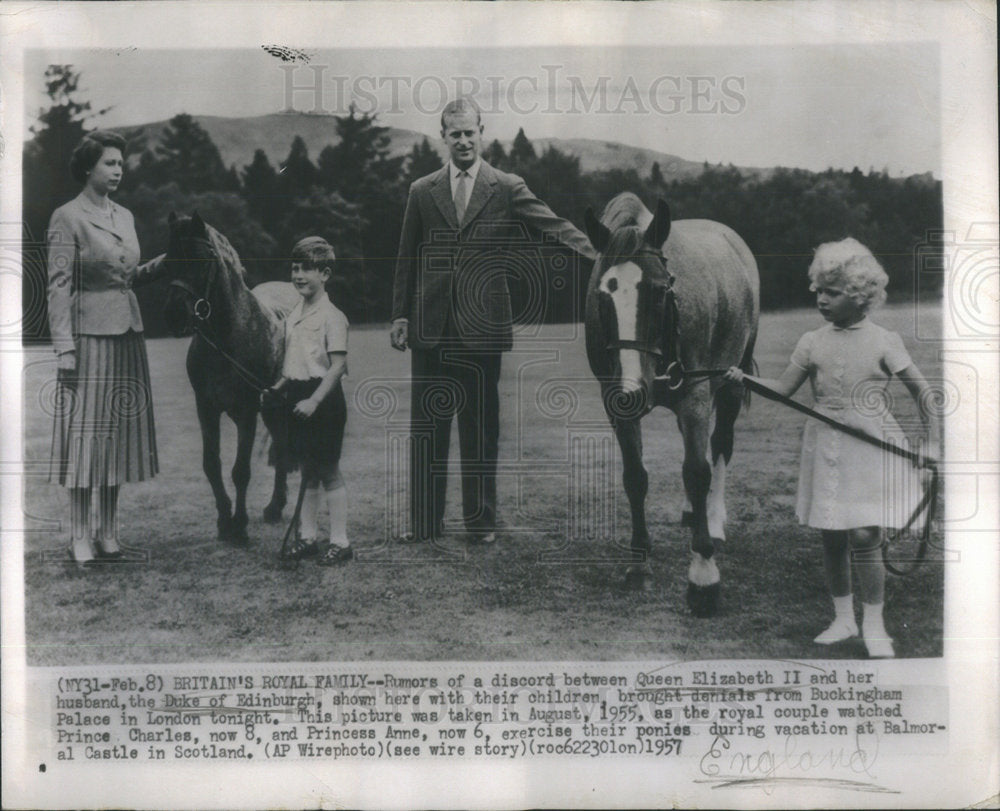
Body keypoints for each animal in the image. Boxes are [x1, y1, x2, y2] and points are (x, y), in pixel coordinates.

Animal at [162, 214, 296, 544]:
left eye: (200, 259)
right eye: (168, 261)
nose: (173, 315)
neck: (228, 337)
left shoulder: (247, 410)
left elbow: (241, 470)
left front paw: (240, 525)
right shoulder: (207, 408)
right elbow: (212, 464)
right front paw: (224, 520)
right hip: (271, 407)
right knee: (281, 446)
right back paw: (275, 506)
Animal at [580, 195, 756, 616]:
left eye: (660, 291)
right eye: (602, 295)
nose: (633, 388)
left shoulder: (695, 393)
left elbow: (696, 470)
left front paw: (704, 574)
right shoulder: (616, 405)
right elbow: (635, 477)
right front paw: (639, 561)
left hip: (731, 379)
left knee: (720, 444)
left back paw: (713, 517)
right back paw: (695, 511)